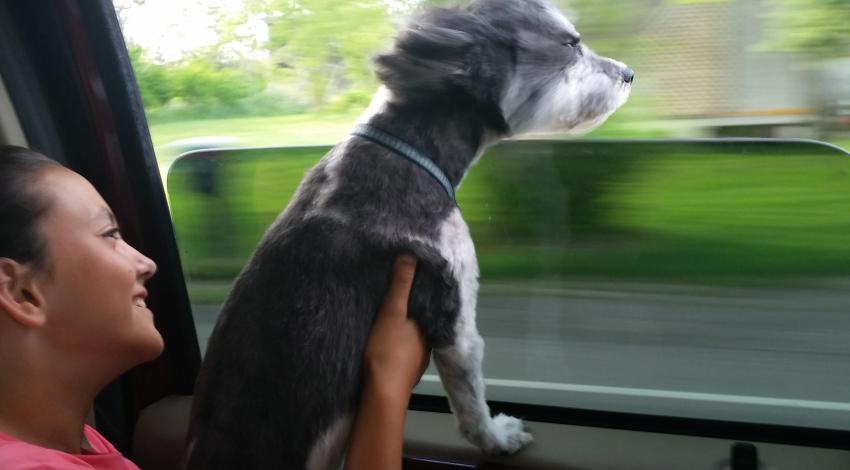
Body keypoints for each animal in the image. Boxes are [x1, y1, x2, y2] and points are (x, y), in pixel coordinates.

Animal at [187, 0, 628, 468]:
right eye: (570, 45)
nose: (628, 73)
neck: (411, 154)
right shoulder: (454, 313)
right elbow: (471, 400)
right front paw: (498, 437)